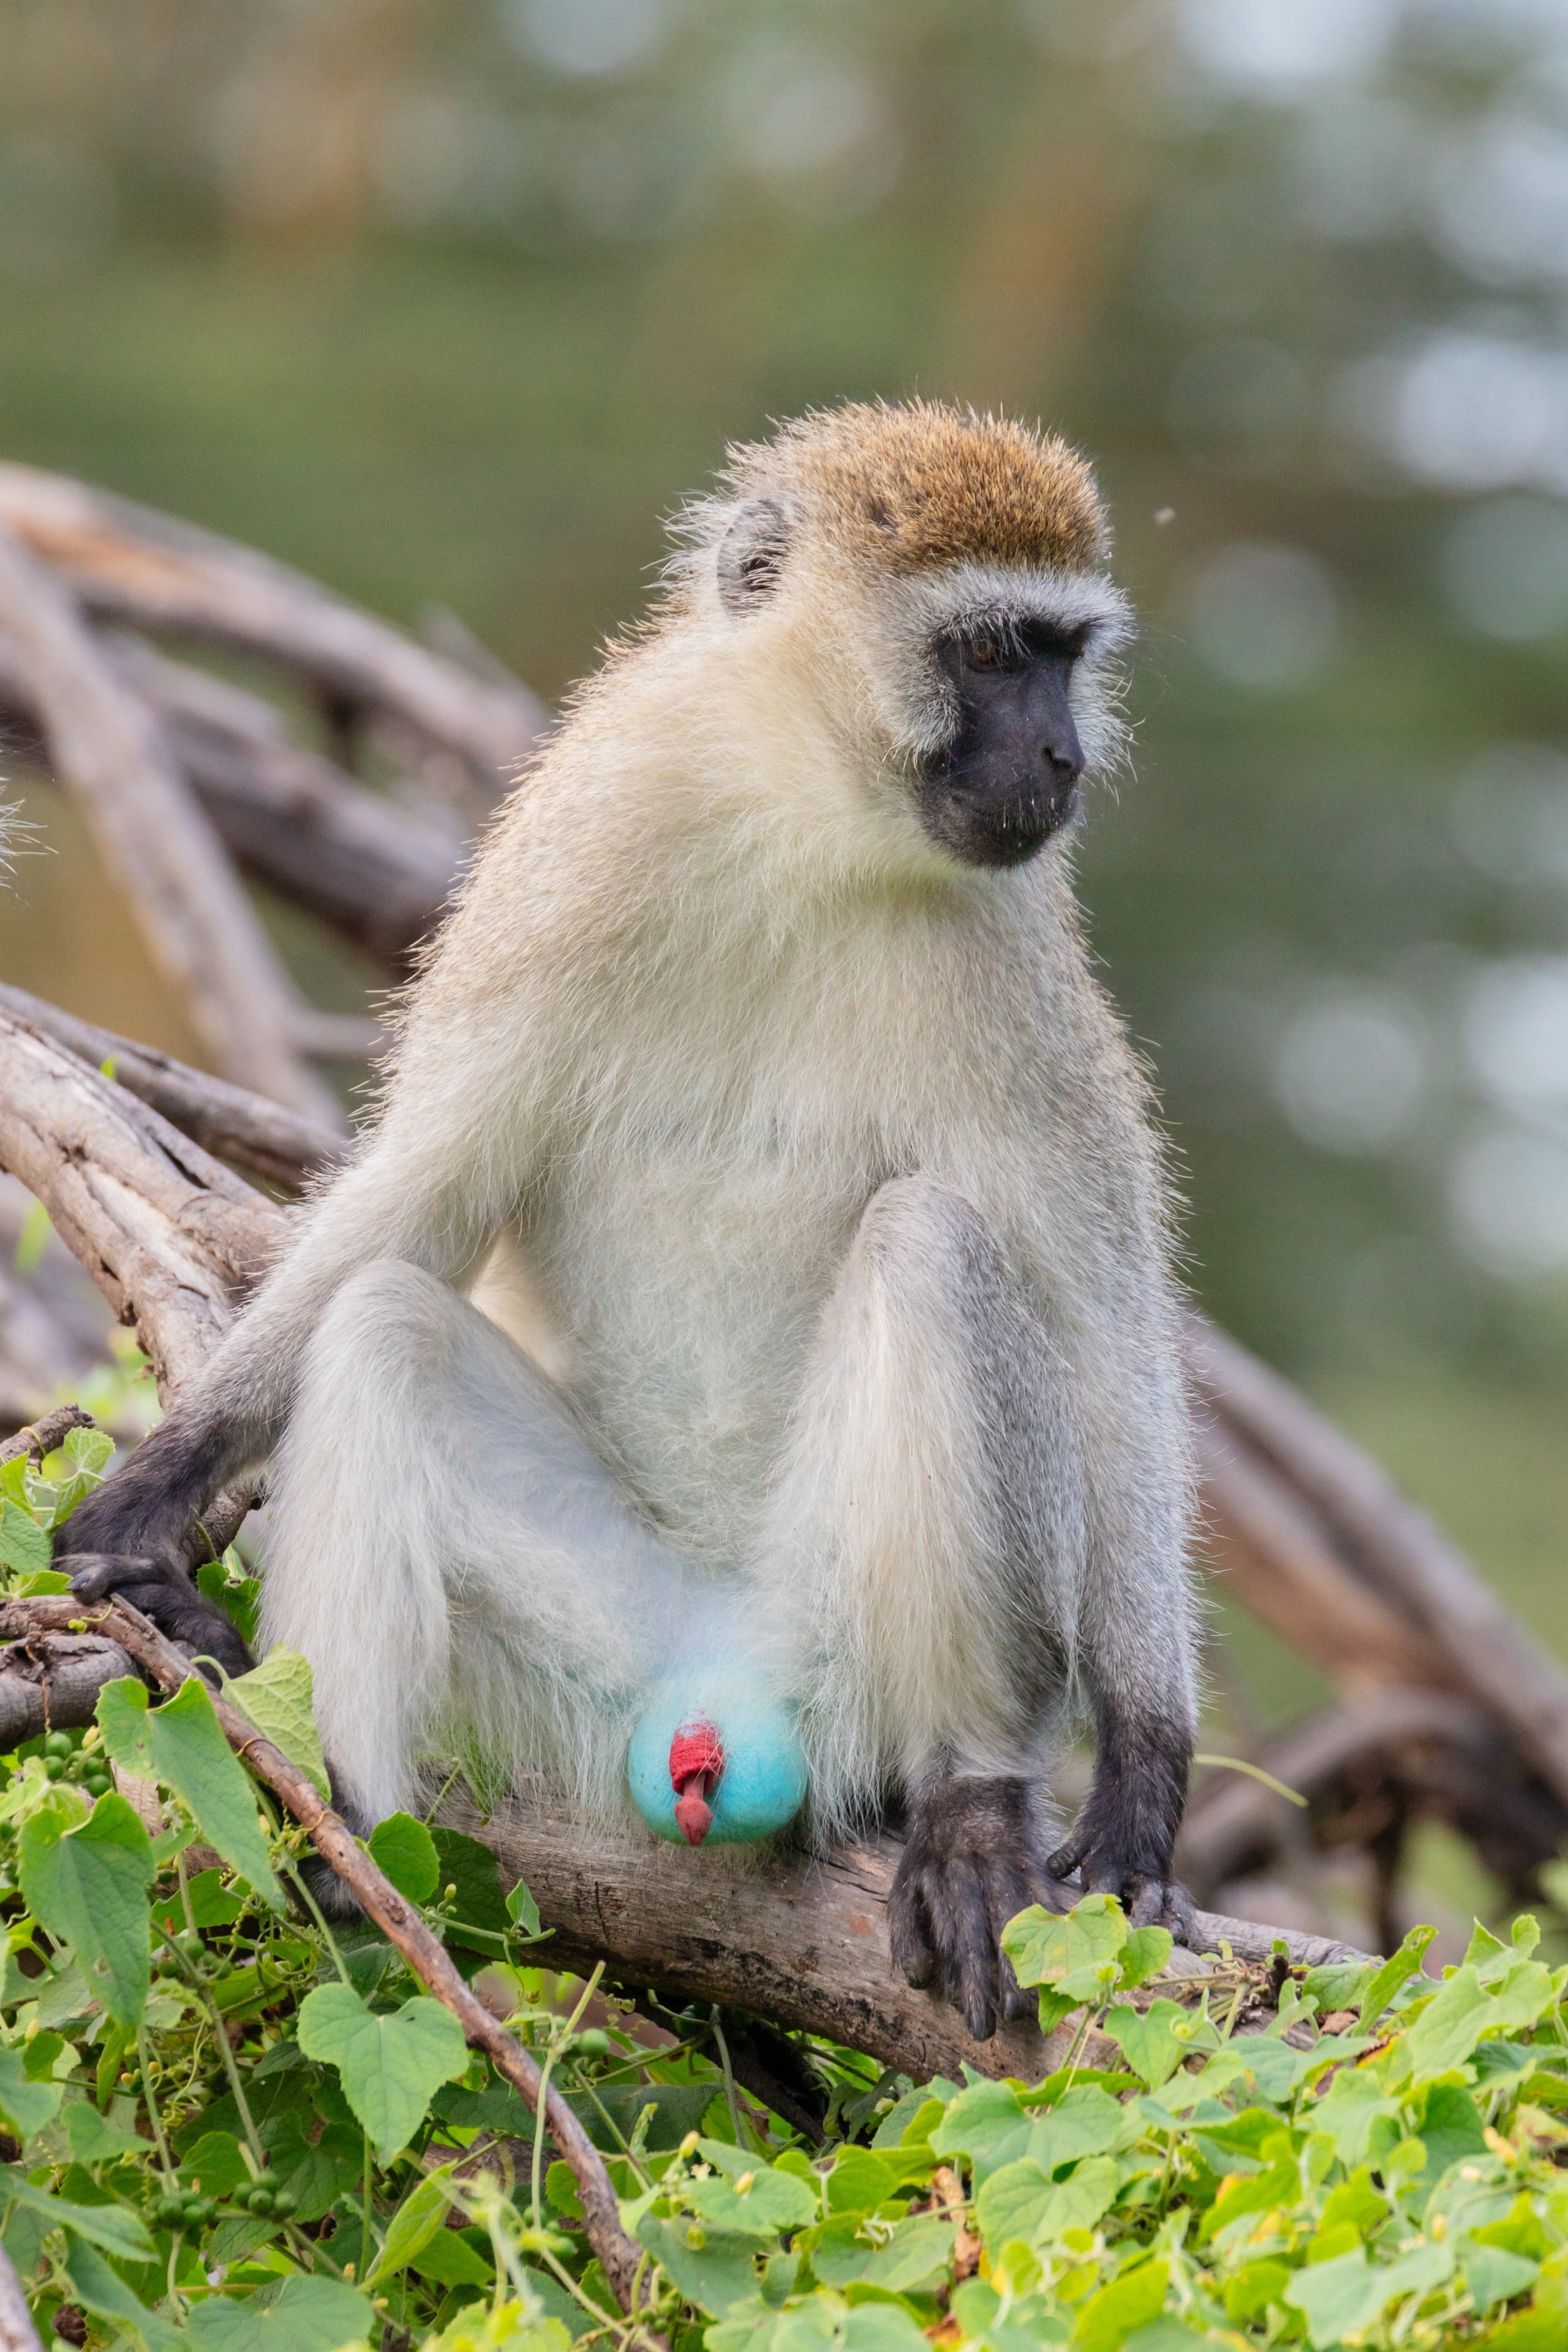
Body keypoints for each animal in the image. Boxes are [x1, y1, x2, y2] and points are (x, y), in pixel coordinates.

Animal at [58, 400, 1198, 2042]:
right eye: (988, 653)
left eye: (1059, 654)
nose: (1059, 752)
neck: (802, 820)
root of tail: (719, 1682)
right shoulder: (578, 845)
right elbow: (424, 1189)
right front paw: (156, 1489)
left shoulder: (1018, 970)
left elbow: (1101, 1332)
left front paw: (1144, 1779)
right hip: (580, 1667)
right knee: (388, 1326)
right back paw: (343, 1842)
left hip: (844, 1665)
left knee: (933, 1248)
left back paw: (967, 1810)